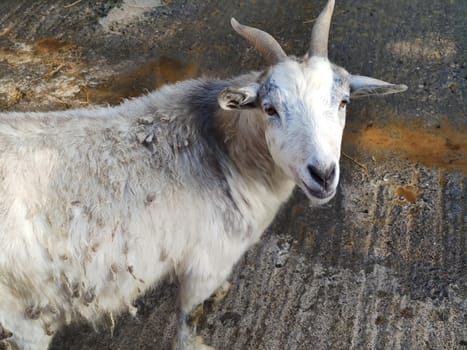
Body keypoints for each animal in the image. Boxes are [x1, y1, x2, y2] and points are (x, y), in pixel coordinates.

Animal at [0, 1, 408, 348]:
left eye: (343, 102)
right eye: (270, 109)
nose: (322, 174)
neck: (223, 151)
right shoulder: (208, 261)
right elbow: (186, 318)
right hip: (24, 322)